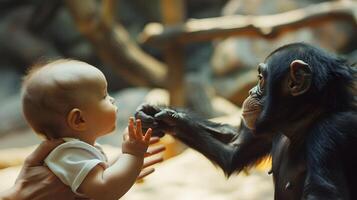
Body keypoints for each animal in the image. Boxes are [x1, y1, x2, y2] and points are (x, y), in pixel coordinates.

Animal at [135, 42, 354, 200]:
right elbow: (234, 149)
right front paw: (158, 115)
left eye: (261, 79)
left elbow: (323, 191)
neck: (301, 122)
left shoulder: (329, 132)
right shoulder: (268, 128)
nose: (250, 91)